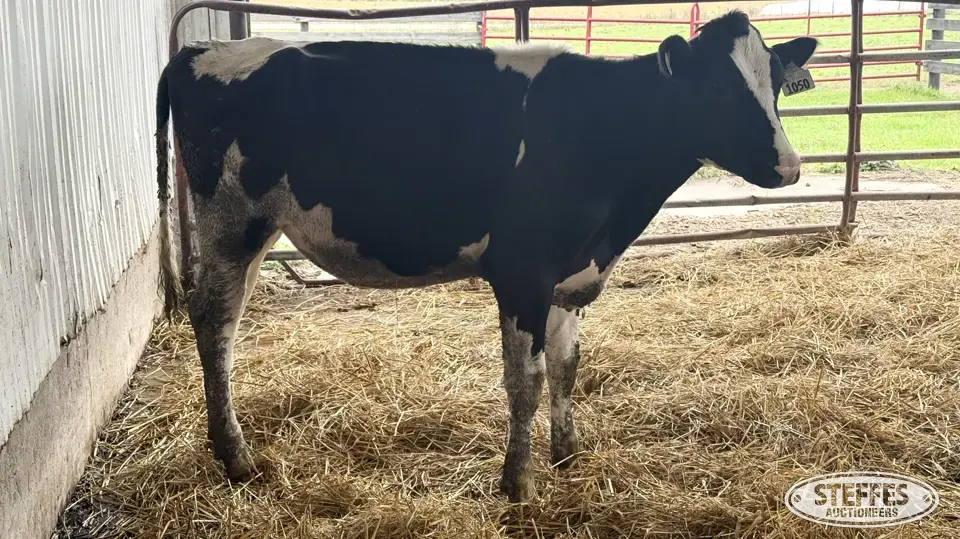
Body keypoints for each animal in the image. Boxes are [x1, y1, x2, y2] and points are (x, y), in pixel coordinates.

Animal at [155, 10, 817, 502]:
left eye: (776, 81)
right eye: (718, 88)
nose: (789, 167)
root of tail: (202, 51)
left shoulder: (573, 274)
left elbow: (568, 366)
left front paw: (567, 454)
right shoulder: (523, 272)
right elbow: (527, 379)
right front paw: (518, 484)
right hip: (232, 224)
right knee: (216, 323)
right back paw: (236, 457)